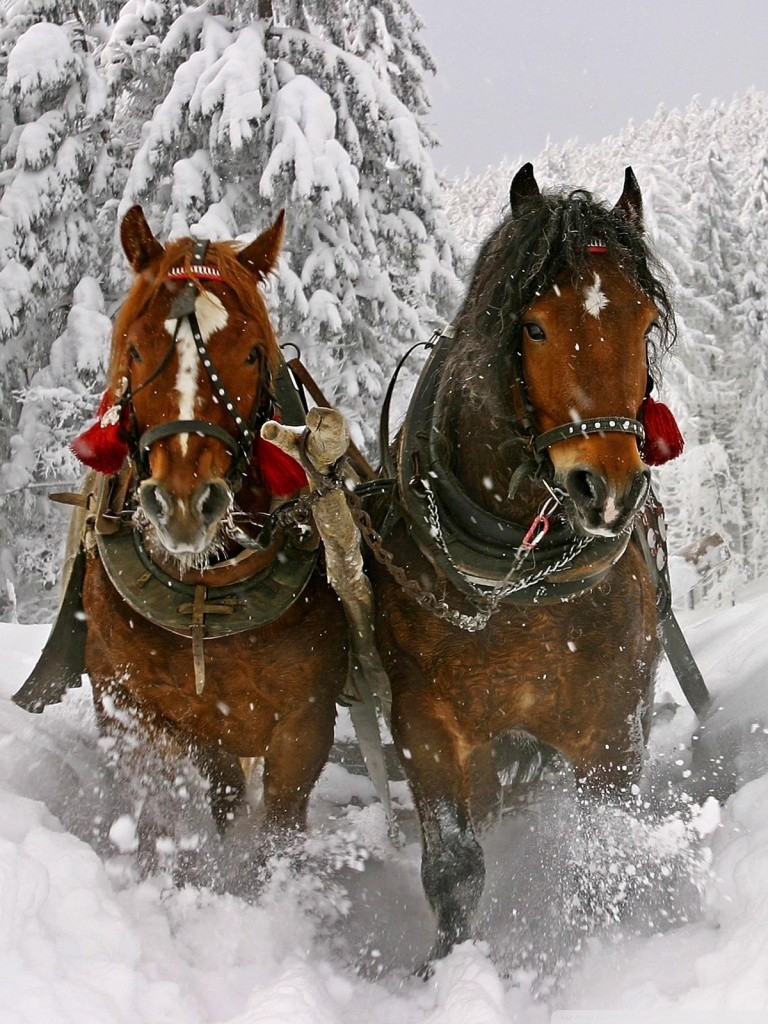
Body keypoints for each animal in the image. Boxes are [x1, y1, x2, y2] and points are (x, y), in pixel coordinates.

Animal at [17, 207, 349, 877]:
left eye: (251, 354)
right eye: (136, 347)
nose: (184, 505)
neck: (206, 590)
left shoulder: (305, 721)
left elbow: (280, 826)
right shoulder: (134, 709)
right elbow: (165, 813)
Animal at [371, 165, 679, 966]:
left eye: (643, 323)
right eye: (534, 326)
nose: (608, 489)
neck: (519, 584)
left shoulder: (611, 727)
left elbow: (602, 849)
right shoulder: (425, 724)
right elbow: (454, 868)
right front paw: (446, 969)